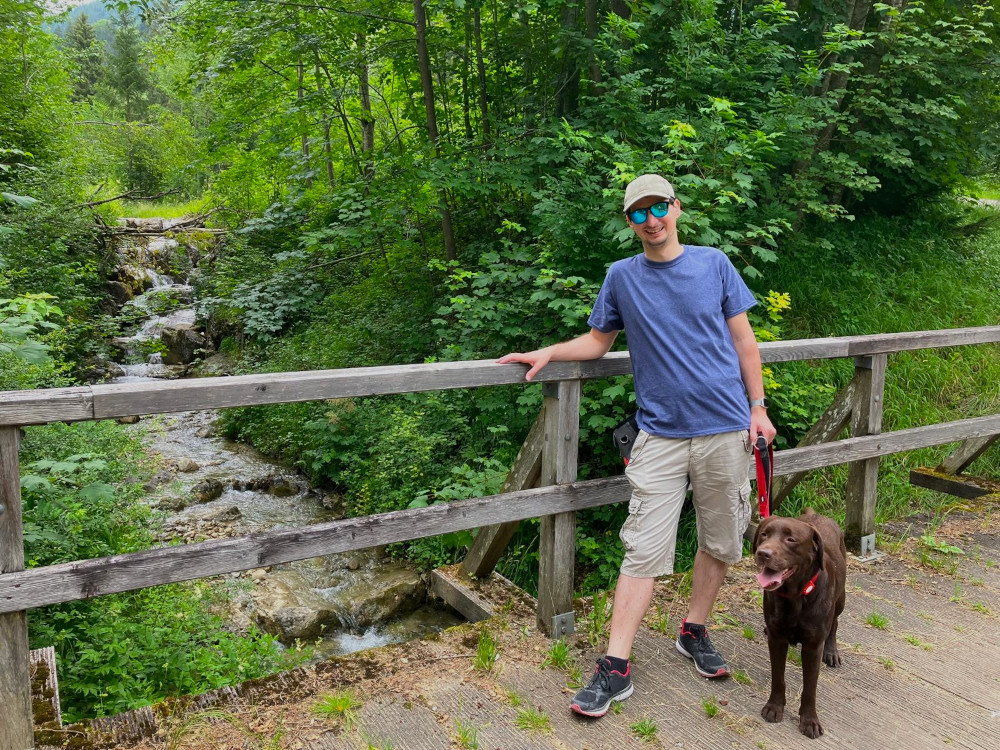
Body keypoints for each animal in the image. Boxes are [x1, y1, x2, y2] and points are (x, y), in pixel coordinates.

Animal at [752, 512, 848, 740]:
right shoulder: (777, 640)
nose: (763, 553)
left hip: (841, 599)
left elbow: (810, 688)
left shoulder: (812, 647)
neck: (795, 597)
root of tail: (815, 513)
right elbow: (778, 677)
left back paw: (832, 652)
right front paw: (774, 707)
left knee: (835, 623)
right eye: (764, 534)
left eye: (791, 539)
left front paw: (809, 721)